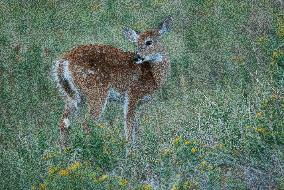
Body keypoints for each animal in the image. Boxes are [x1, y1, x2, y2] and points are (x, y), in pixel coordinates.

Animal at [51, 16, 172, 147]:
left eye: (149, 42)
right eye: (136, 43)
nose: (137, 57)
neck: (153, 75)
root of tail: (63, 61)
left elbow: (136, 126)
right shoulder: (132, 94)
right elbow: (129, 124)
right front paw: (130, 150)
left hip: (70, 95)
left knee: (64, 122)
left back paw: (66, 149)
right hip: (96, 91)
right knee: (86, 123)